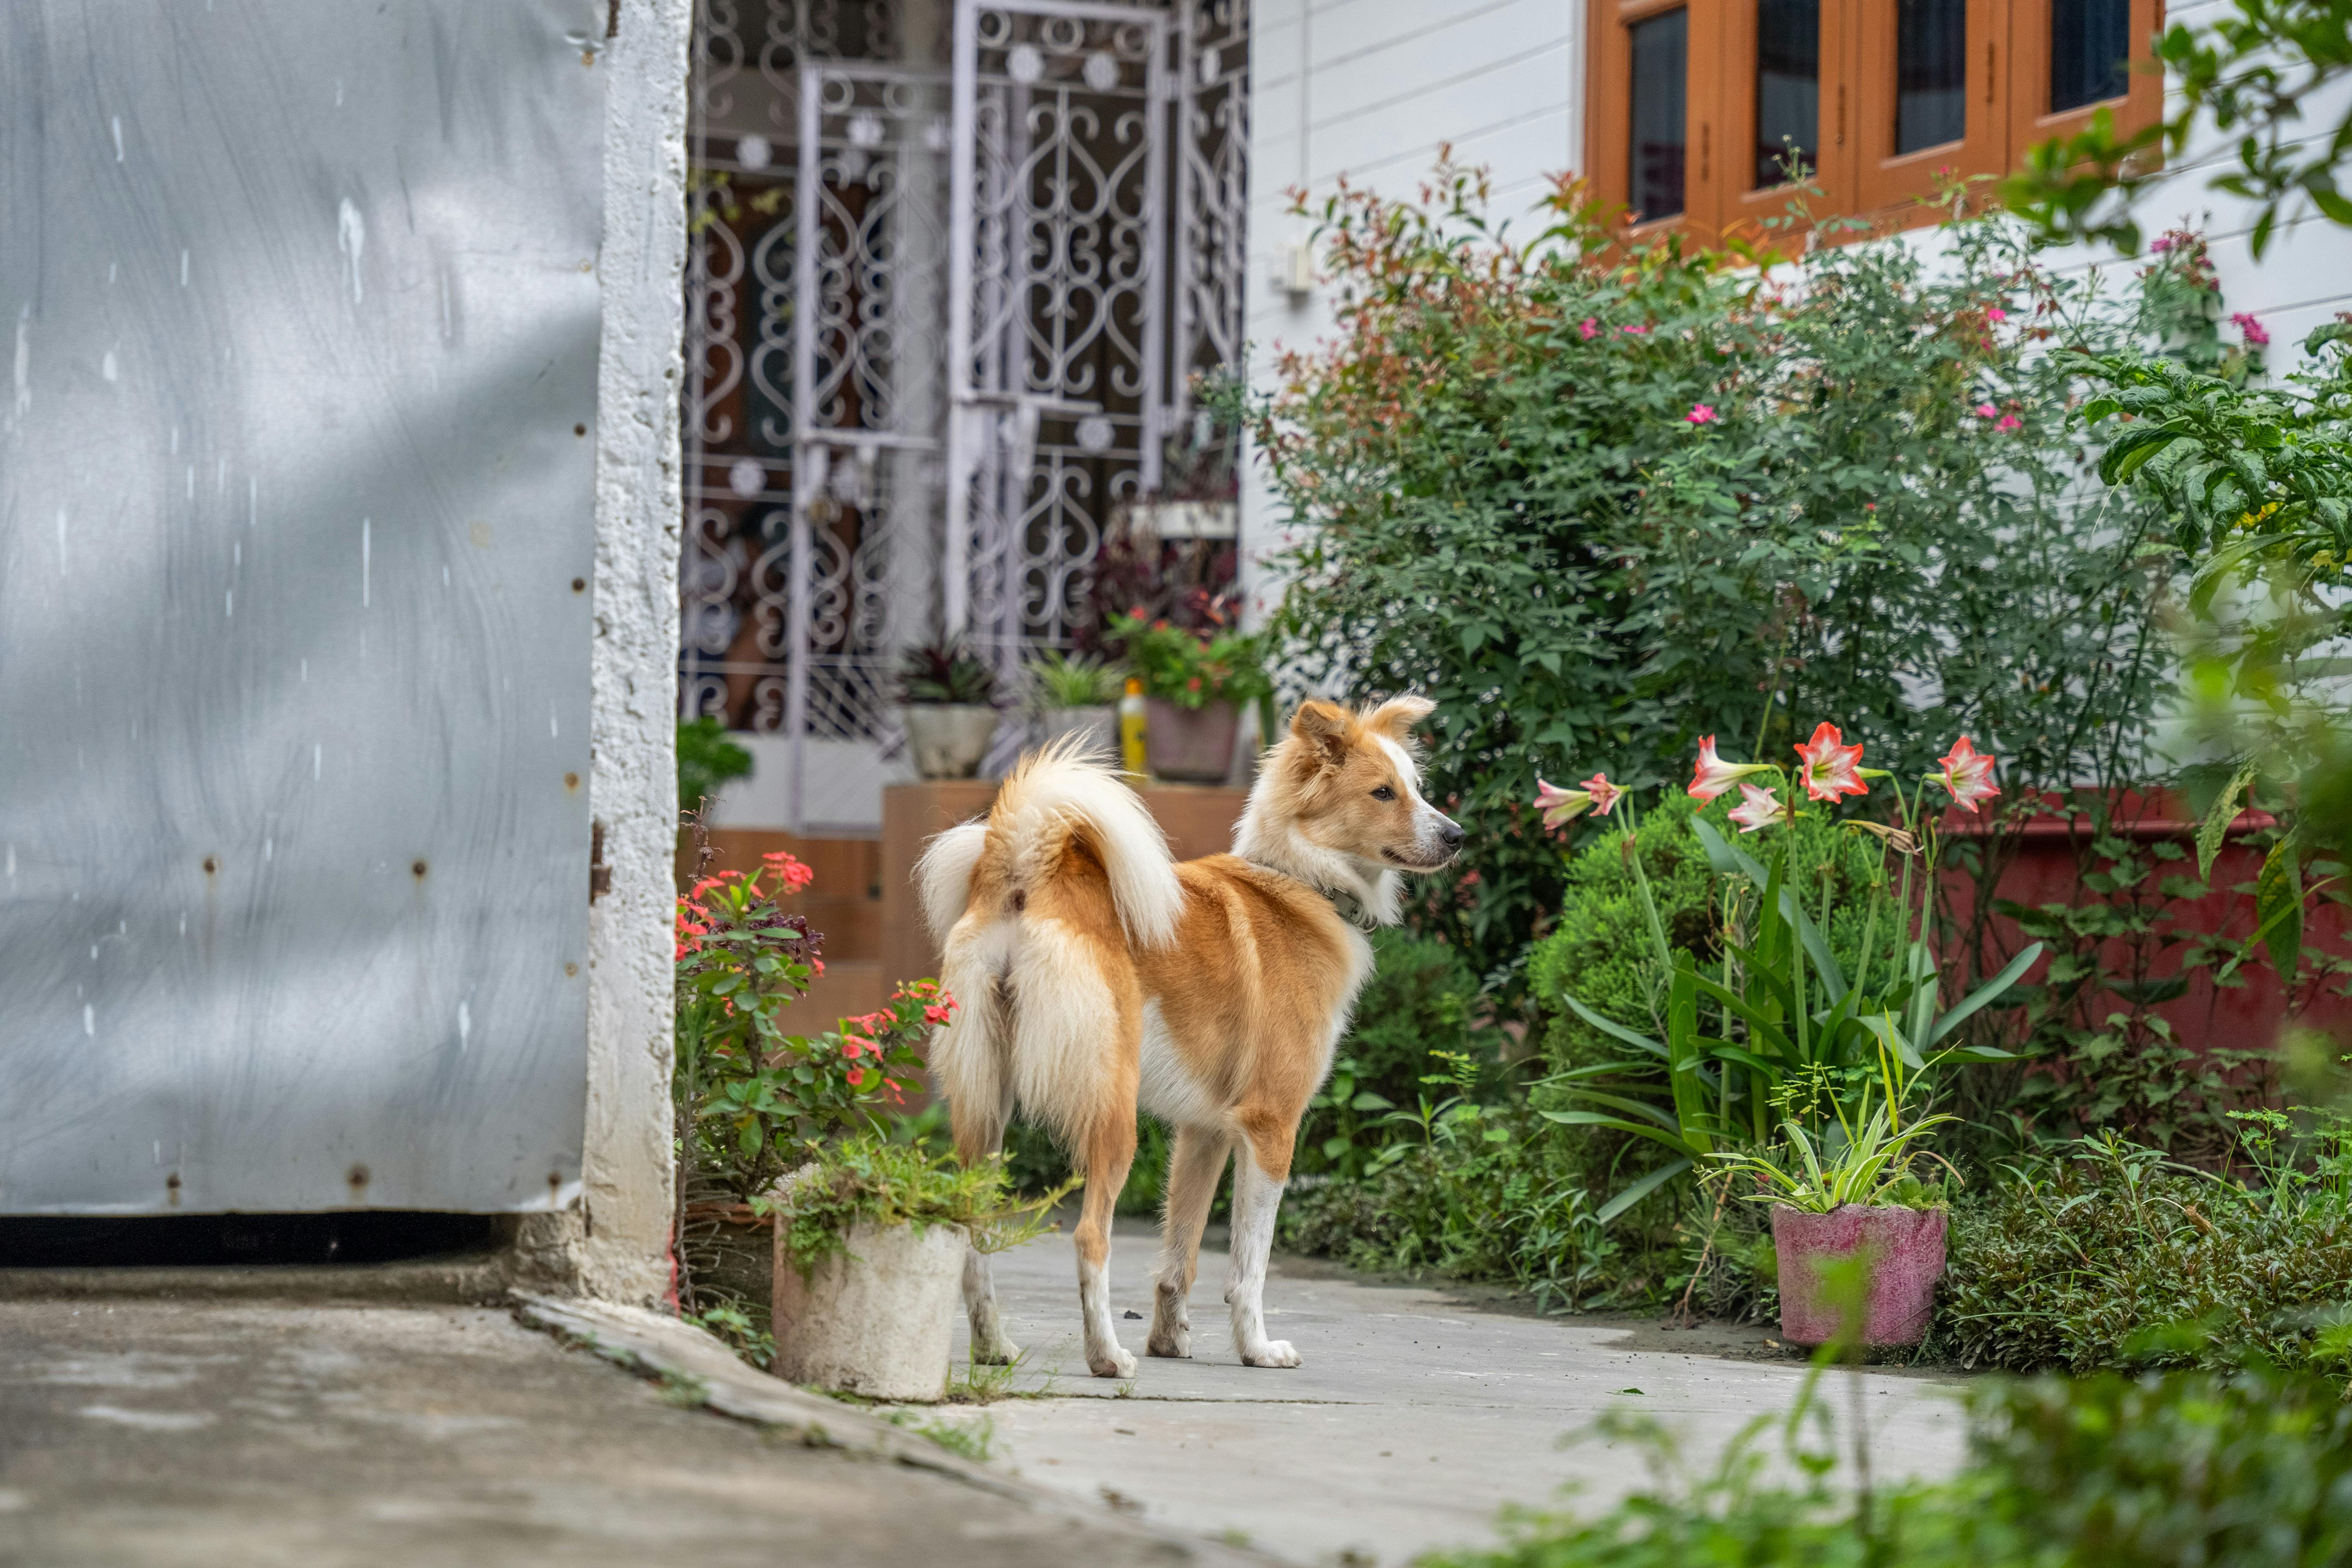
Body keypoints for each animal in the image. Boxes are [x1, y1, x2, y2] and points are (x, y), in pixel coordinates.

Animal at [912, 696, 1449, 1373]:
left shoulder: (1205, 1132)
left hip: (985, 1109)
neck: (1300, 880)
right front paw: (1256, 1349)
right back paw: (1108, 1357)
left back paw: (994, 1348)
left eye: (1418, 788)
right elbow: (1249, 1266)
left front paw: (1169, 1341)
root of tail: (1028, 870)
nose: (1457, 836)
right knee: (1090, 1236)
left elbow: (1182, 1256)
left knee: (973, 1226)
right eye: (1383, 792)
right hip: (1112, 1113)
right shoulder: (1271, 1127)